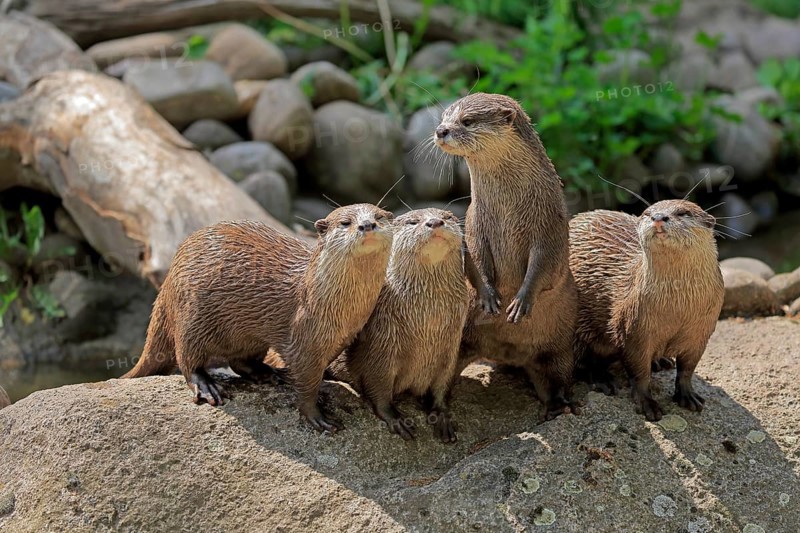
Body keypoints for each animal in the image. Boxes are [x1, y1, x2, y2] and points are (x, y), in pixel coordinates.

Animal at [123, 204, 393, 432]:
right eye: (345, 222)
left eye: (379, 216)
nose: (367, 225)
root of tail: (168, 280)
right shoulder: (304, 340)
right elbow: (307, 383)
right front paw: (316, 416)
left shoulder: (341, 339)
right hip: (192, 315)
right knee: (187, 358)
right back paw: (207, 385)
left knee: (239, 362)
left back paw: (268, 373)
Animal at [327, 208, 469, 443]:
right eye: (412, 222)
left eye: (447, 217)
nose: (435, 222)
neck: (427, 322)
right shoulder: (382, 344)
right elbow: (378, 384)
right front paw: (395, 418)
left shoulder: (450, 349)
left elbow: (443, 385)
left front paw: (441, 415)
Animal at [434, 93, 578, 420]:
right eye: (444, 116)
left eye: (467, 121)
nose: (440, 131)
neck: (509, 213)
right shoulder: (475, 222)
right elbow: (475, 258)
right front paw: (489, 296)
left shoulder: (549, 226)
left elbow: (545, 265)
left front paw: (521, 301)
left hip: (561, 346)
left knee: (557, 376)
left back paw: (558, 406)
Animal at [569, 199, 724, 421]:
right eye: (647, 213)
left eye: (683, 213)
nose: (659, 217)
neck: (678, 311)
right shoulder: (635, 330)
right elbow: (639, 371)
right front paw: (647, 403)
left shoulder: (700, 333)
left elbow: (687, 369)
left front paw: (688, 395)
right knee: (581, 362)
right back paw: (603, 379)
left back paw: (661, 362)